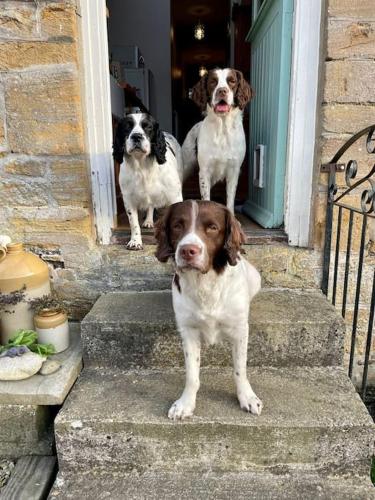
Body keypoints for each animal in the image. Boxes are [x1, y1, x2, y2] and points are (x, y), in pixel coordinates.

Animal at [154, 199, 262, 418]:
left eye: (212, 227)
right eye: (177, 225)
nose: (188, 251)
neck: (204, 283)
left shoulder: (240, 330)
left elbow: (240, 369)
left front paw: (247, 397)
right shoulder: (188, 331)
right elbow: (191, 375)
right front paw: (185, 403)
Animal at [183, 68, 254, 213]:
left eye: (232, 81)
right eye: (212, 82)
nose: (222, 91)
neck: (222, 129)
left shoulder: (234, 170)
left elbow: (230, 199)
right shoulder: (204, 171)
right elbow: (206, 198)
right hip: (186, 165)